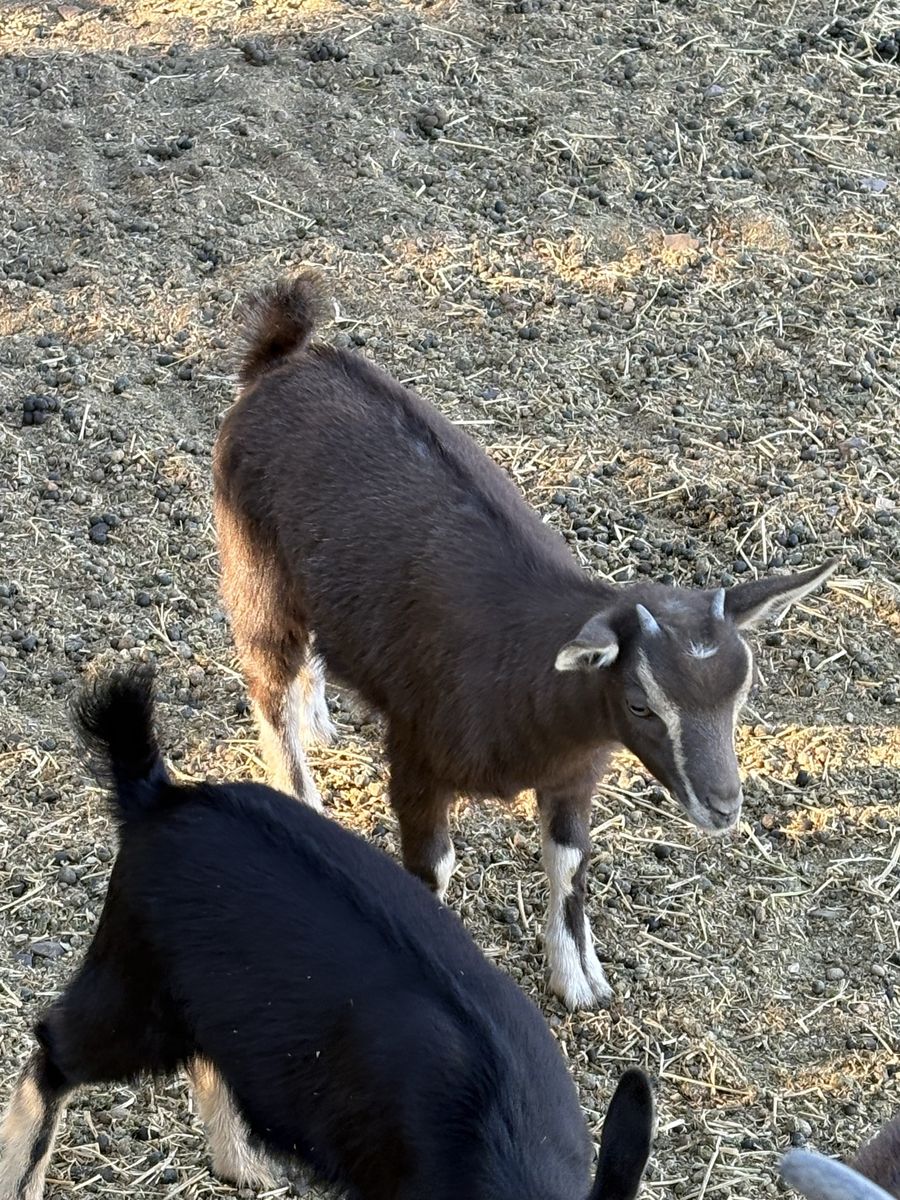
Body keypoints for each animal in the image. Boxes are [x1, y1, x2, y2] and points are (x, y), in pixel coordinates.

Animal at [0, 668, 655, 1200]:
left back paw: (247, 1168)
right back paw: (21, 1183)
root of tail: (156, 795)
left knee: (209, 1061)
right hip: (135, 988)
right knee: (52, 1055)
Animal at [212, 271, 838, 1010]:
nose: (724, 806)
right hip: (255, 571)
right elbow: (433, 869)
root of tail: (280, 359)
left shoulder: (575, 775)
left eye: (740, 695)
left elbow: (568, 861)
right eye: (641, 704)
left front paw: (579, 980)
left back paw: (318, 717)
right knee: (267, 679)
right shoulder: (416, 758)